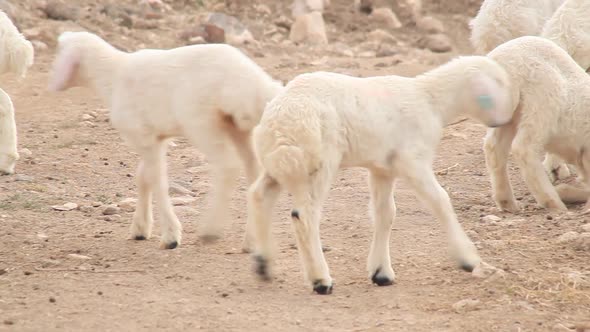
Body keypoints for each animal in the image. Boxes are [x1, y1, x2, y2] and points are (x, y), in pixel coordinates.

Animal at [48, 30, 284, 249]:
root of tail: (255, 85)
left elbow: (156, 180)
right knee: (253, 171)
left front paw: (170, 235)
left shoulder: (143, 137)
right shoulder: (155, 138)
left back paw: (211, 230)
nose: (52, 75)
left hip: (202, 124)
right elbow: (142, 177)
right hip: (238, 128)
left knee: (228, 166)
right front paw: (140, 229)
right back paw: (251, 240)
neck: (112, 76)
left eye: (59, 50)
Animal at [247, 55, 516, 296]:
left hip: (278, 163)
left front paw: (381, 272)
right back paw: (320, 280)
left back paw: (263, 263)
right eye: (500, 83)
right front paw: (468, 258)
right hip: (320, 162)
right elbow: (440, 201)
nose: (508, 117)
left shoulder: (382, 169)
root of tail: (280, 122)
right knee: (305, 215)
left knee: (259, 196)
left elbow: (385, 213)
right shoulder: (412, 160)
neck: (431, 100)